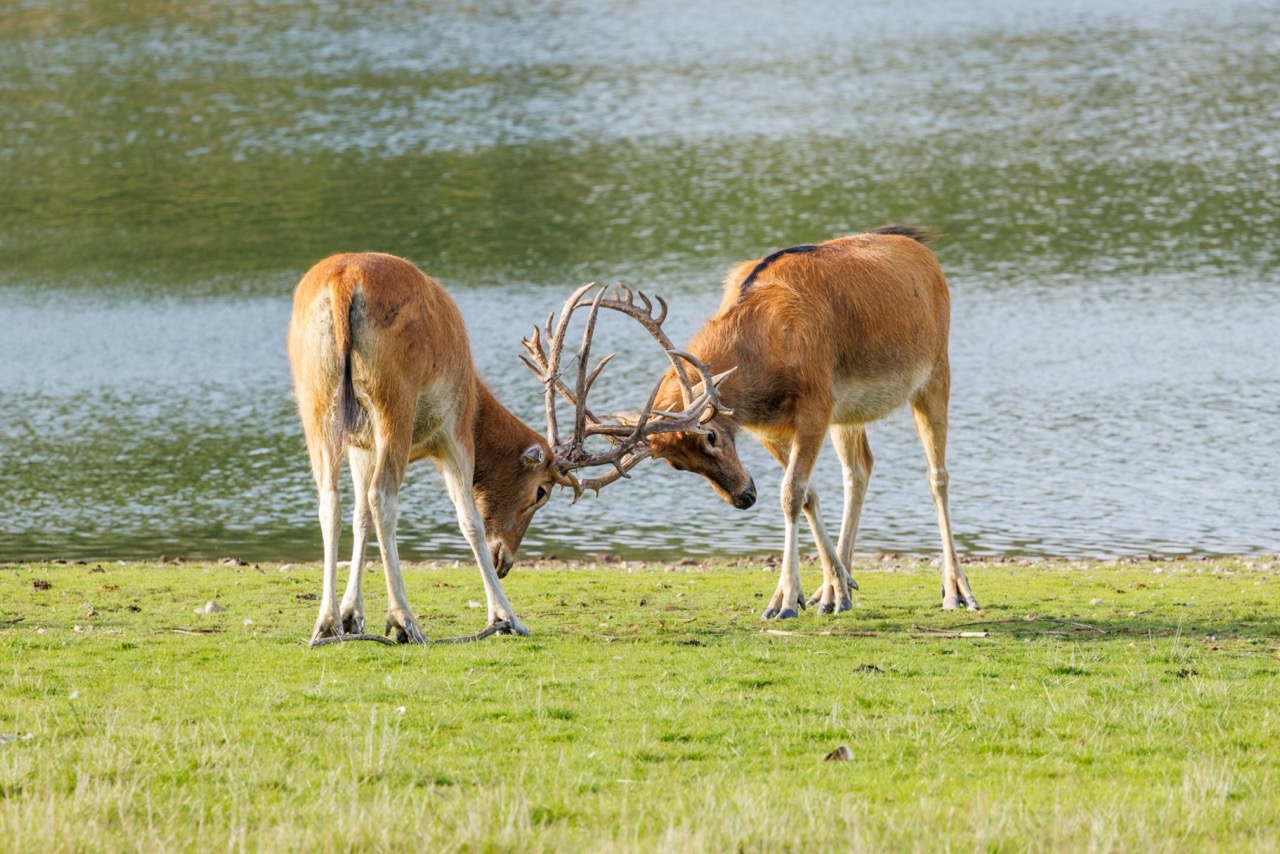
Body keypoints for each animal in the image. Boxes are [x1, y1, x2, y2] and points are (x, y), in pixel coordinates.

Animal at [290, 253, 732, 647]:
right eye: (541, 492)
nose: (505, 562)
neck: (477, 403)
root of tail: (344, 283)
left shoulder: (361, 444)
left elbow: (360, 517)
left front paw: (353, 616)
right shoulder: (454, 430)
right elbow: (469, 521)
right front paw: (506, 618)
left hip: (317, 400)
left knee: (331, 500)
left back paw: (326, 624)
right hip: (394, 399)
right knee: (383, 496)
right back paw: (405, 621)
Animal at [629, 226, 977, 622]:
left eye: (711, 436)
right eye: (676, 464)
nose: (743, 497)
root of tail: (925, 251)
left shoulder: (816, 402)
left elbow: (790, 493)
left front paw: (783, 602)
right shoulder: (770, 428)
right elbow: (808, 493)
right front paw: (834, 590)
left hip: (935, 373)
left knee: (938, 476)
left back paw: (957, 591)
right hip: (849, 411)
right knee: (859, 468)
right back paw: (832, 587)